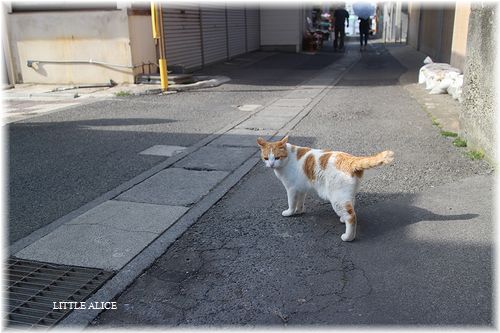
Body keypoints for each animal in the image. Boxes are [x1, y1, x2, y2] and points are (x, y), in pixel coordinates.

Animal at [258, 135, 394, 241]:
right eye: (266, 158)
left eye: (277, 157)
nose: (271, 164)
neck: (288, 159)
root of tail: (351, 159)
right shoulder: (301, 189)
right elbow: (300, 202)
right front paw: (299, 211)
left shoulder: (291, 189)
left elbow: (291, 203)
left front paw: (290, 212)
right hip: (346, 195)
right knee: (350, 208)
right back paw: (342, 219)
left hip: (336, 199)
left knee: (351, 216)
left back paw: (348, 237)